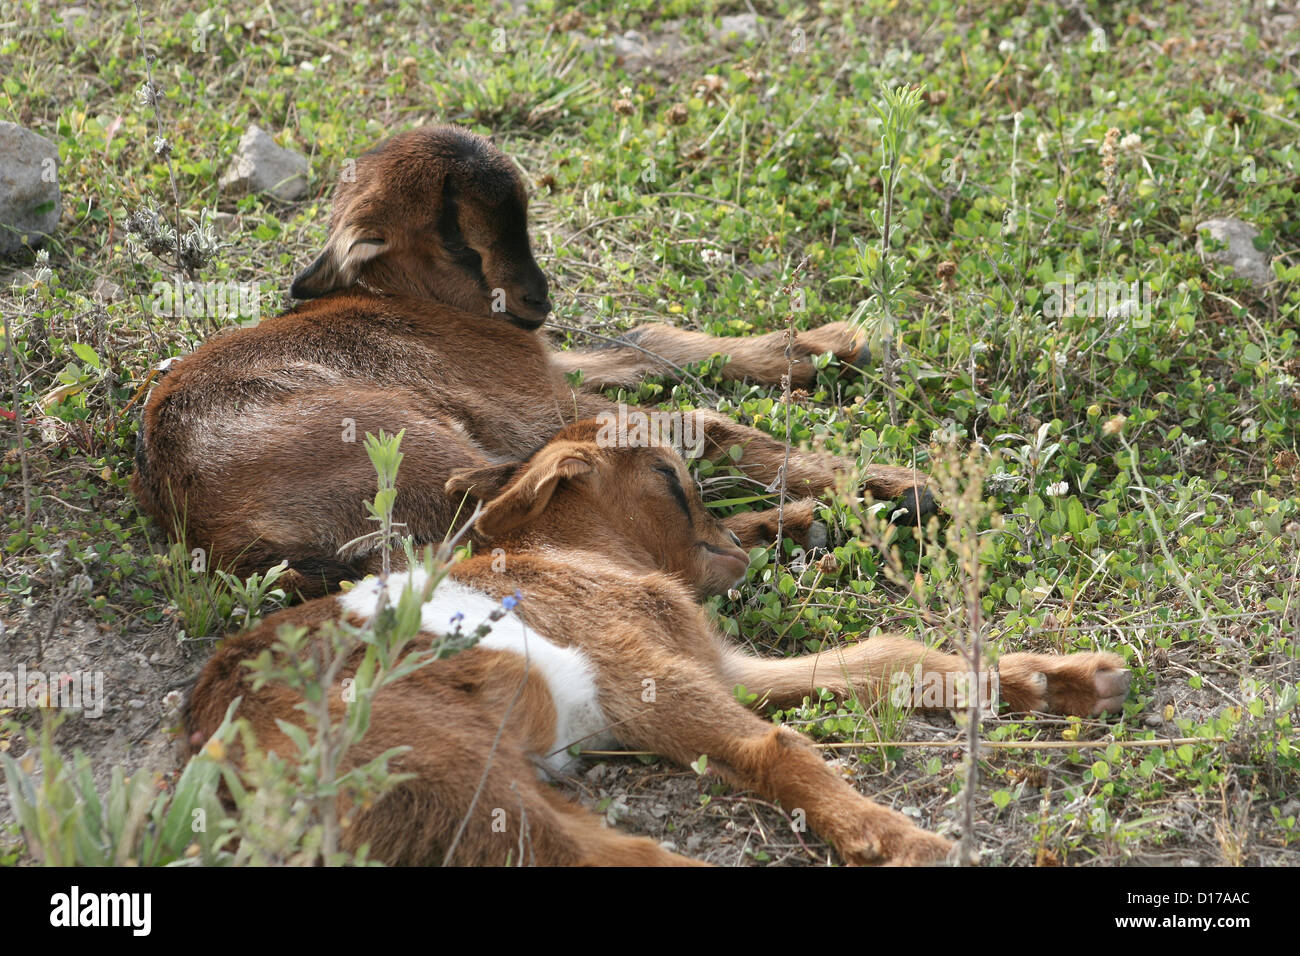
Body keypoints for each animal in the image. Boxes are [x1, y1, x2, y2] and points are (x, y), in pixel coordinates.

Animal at [133, 124, 932, 597]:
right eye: (455, 234)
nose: (535, 296)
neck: (409, 300)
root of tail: (208, 526)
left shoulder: (545, 368)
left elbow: (650, 345)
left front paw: (830, 347)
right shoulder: (529, 406)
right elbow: (698, 423)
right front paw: (899, 485)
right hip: (424, 454)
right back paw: (811, 525)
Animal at [184, 420, 1131, 866]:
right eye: (673, 480)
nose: (739, 543)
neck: (577, 557)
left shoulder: (710, 657)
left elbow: (882, 660)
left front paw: (1067, 681)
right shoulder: (638, 674)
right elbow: (777, 747)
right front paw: (896, 839)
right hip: (438, 766)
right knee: (608, 856)